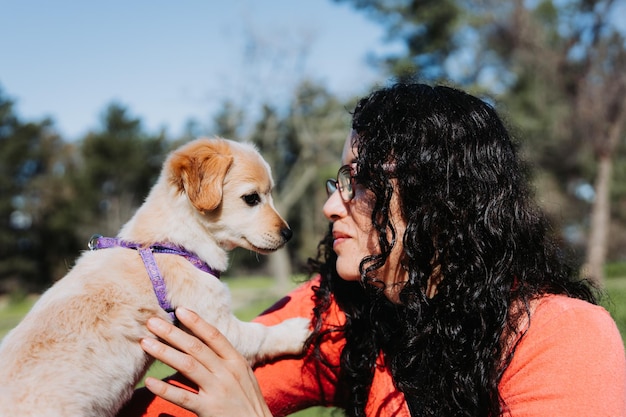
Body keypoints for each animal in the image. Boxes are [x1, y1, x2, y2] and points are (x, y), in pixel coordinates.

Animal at [0, 137, 310, 416]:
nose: (289, 234)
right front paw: (296, 330)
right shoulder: (217, 326)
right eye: (251, 198)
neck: (170, 244)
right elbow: (260, 334)